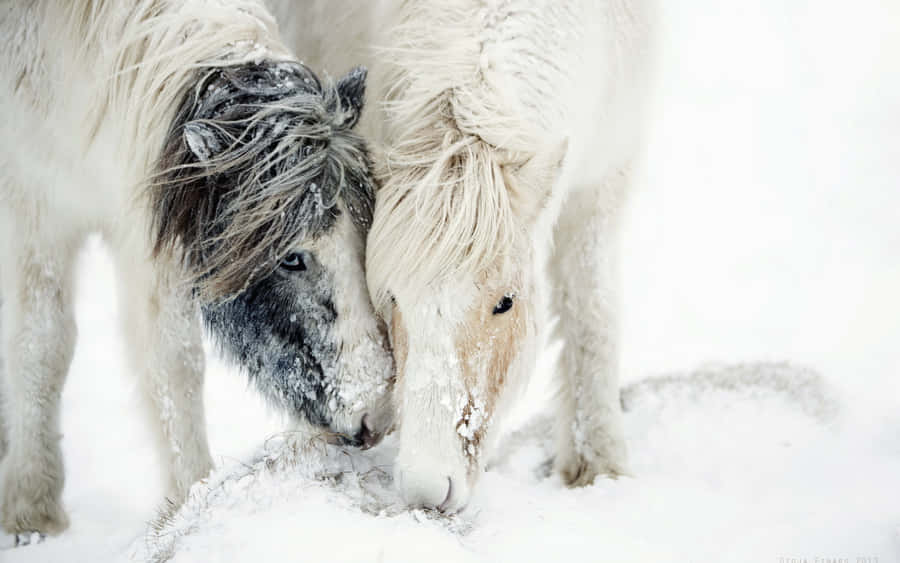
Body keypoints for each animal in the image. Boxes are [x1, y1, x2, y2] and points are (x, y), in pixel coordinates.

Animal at [0, 0, 393, 541]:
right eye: (291, 257)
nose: (378, 417)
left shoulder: (156, 240)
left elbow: (171, 364)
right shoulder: (35, 212)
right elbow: (44, 345)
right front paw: (32, 506)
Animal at [270, 0, 655, 511]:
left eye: (506, 303)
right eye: (391, 299)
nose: (427, 489)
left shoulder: (604, 179)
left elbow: (592, 315)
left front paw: (600, 466)